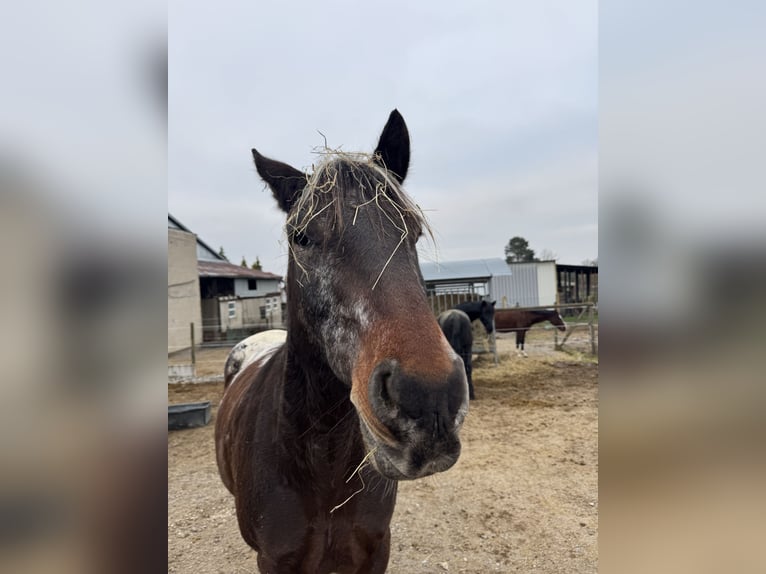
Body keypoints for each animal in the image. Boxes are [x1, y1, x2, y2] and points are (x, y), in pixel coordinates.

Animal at [213, 109, 472, 574]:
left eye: (413, 231)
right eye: (301, 237)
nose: (430, 398)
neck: (323, 471)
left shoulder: (373, 550)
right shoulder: (274, 560)